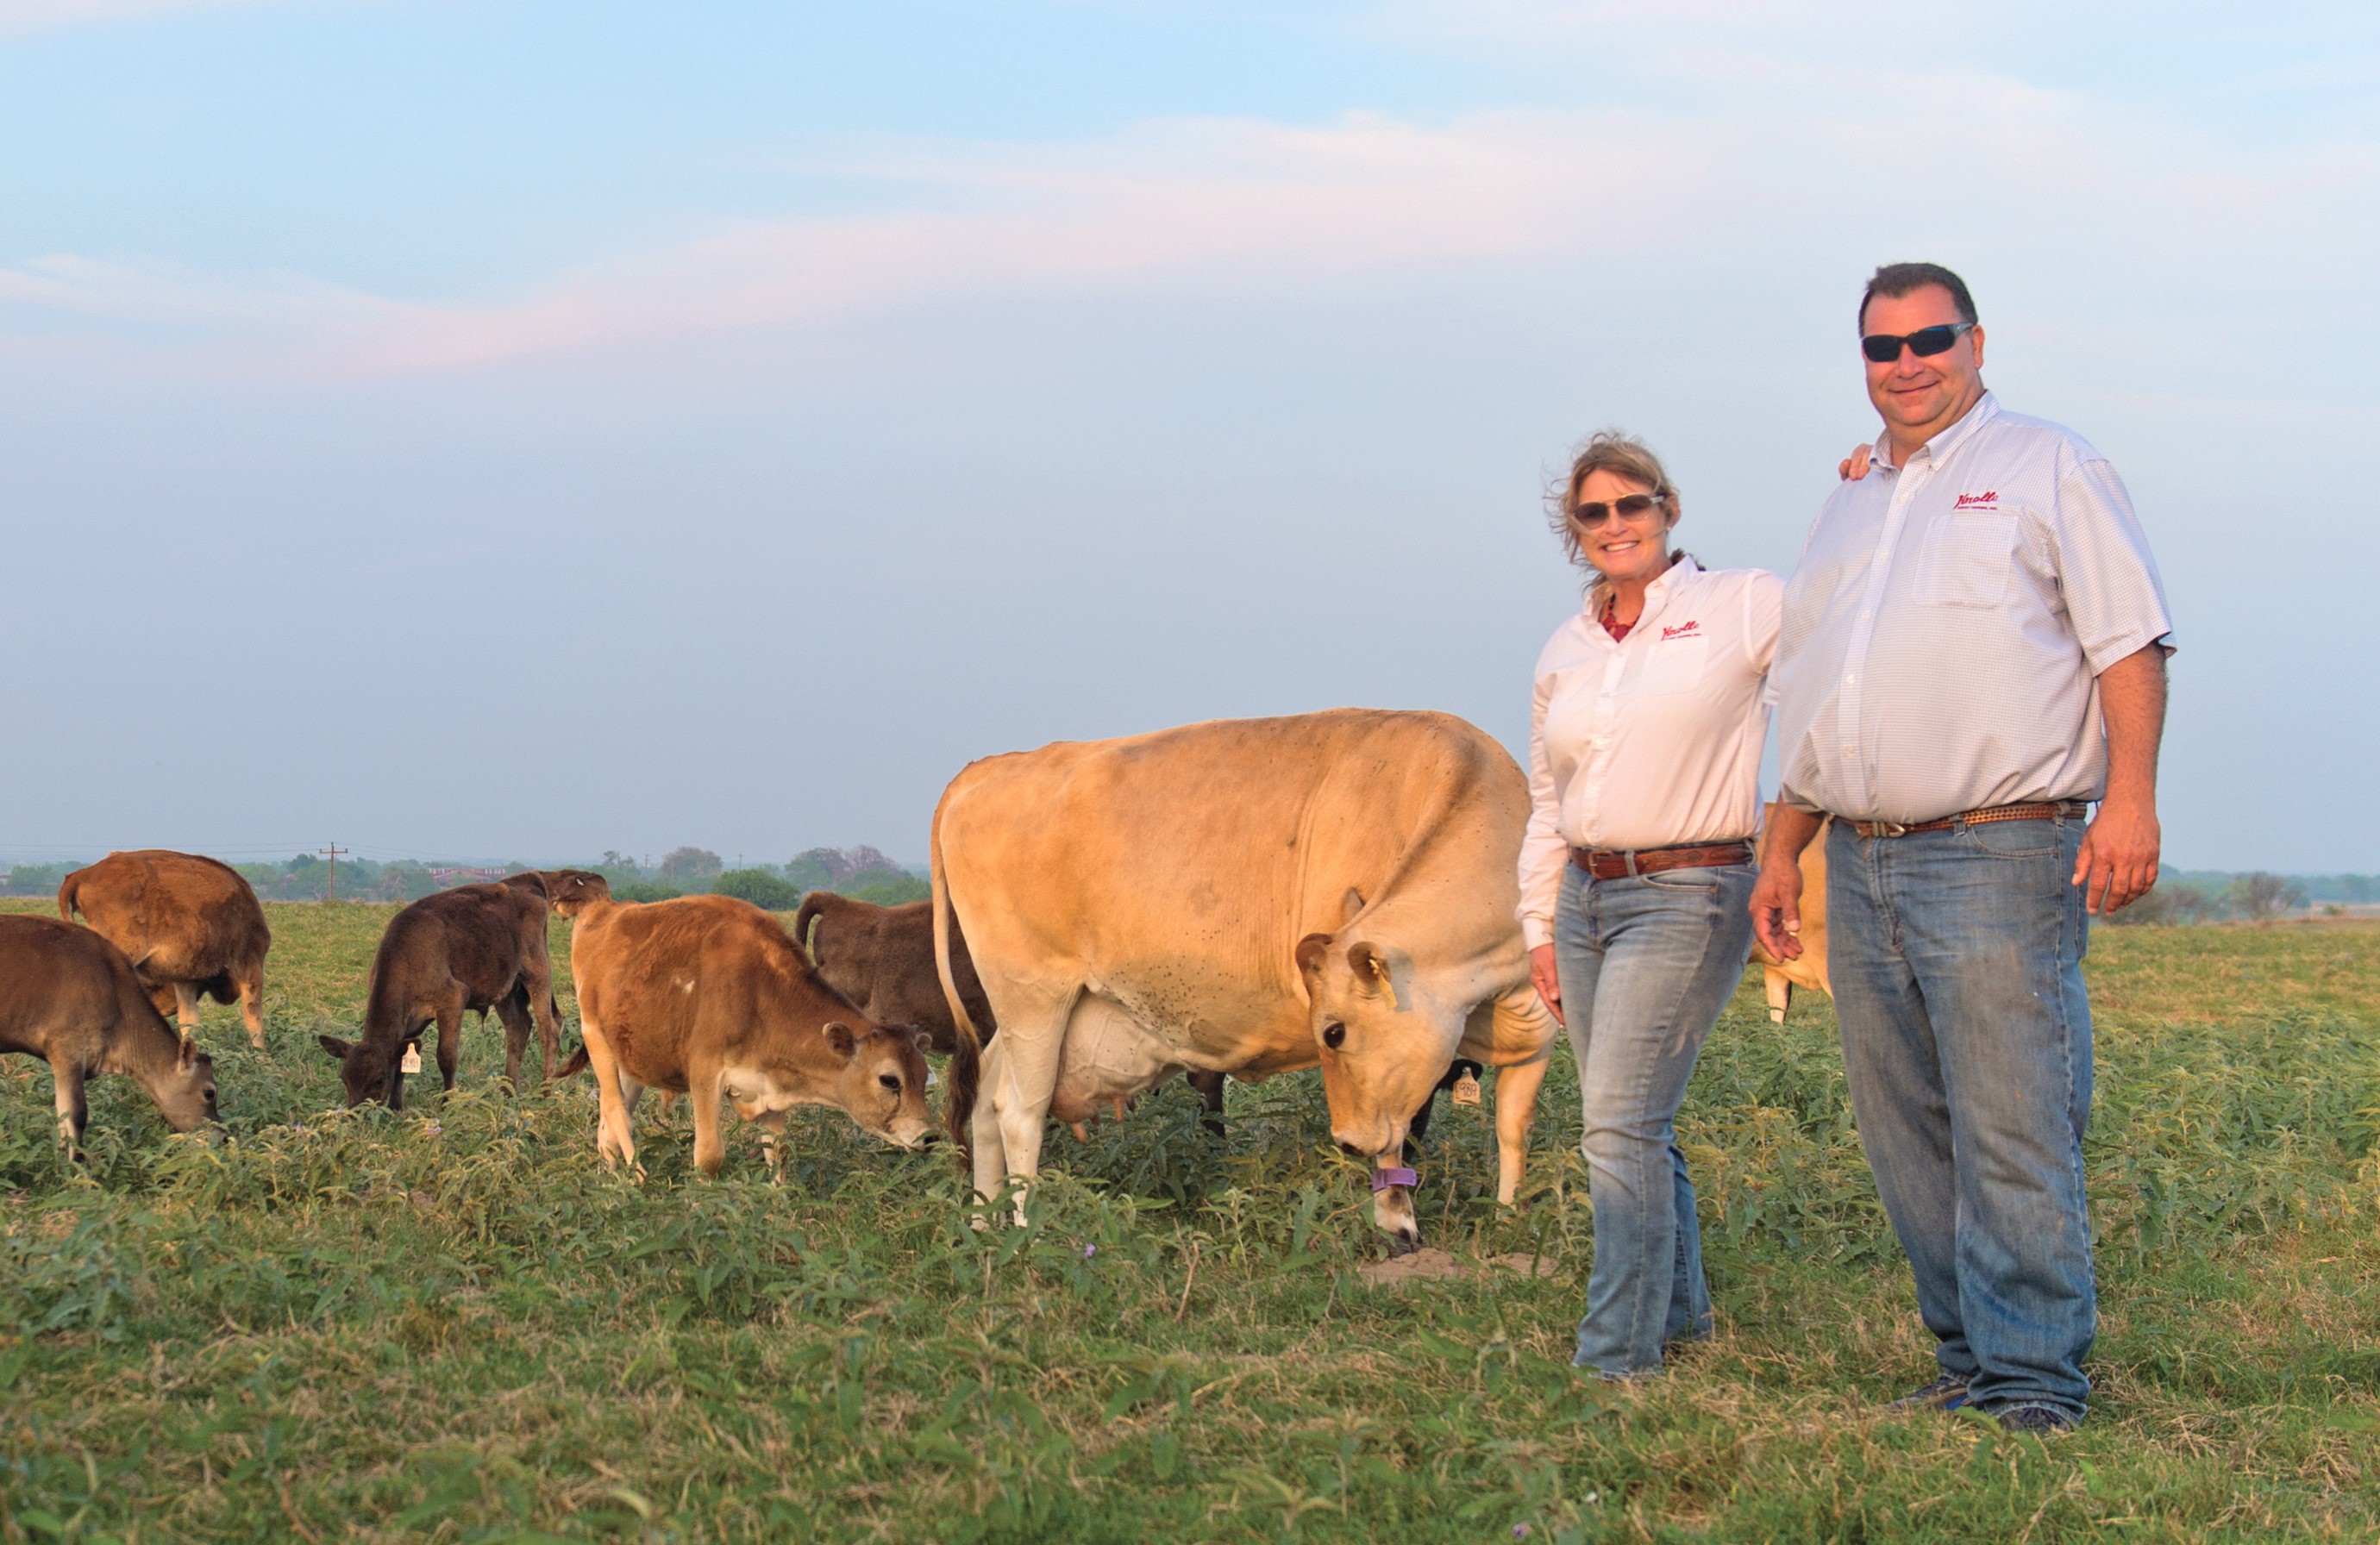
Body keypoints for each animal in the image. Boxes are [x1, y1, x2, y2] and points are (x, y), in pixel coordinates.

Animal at [561, 885, 932, 1176]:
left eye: (924, 1075)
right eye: (889, 1080)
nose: (930, 1136)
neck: (762, 994)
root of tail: (603, 910)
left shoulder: (769, 1089)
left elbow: (778, 1153)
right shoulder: (705, 1075)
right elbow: (709, 1157)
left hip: (630, 1059)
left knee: (608, 1129)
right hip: (597, 1041)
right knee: (617, 1113)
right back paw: (639, 1179)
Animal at [937, 704, 1570, 1247]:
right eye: (1327, 1033)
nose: (1344, 1141)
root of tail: (987, 768)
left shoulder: (1532, 1030)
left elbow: (1513, 1127)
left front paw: (1511, 1219)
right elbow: (1397, 1138)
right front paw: (1397, 1226)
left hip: (1029, 1018)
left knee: (986, 1100)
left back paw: (983, 1223)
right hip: (1034, 997)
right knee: (1019, 1113)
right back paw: (1029, 1231)